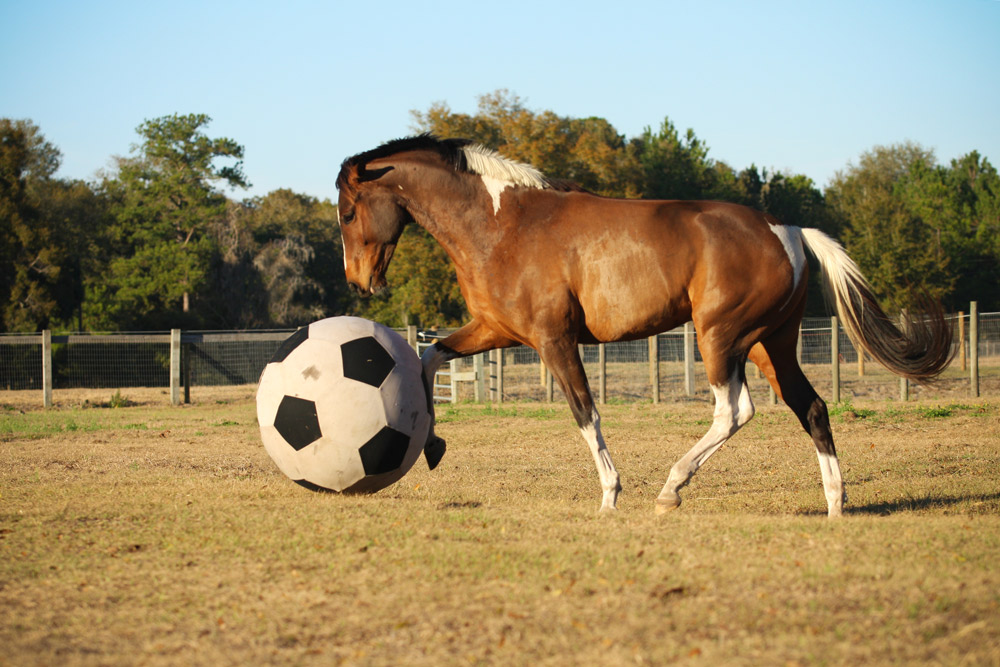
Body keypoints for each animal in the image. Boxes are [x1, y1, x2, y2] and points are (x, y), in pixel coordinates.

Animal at [336, 134, 952, 516]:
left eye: (347, 211)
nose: (360, 282)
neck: (501, 224)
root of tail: (789, 230)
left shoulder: (553, 340)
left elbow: (585, 412)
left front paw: (611, 494)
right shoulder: (496, 331)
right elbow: (428, 359)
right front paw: (433, 444)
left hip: (719, 339)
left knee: (734, 412)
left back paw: (671, 489)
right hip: (770, 346)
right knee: (813, 408)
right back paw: (835, 503)